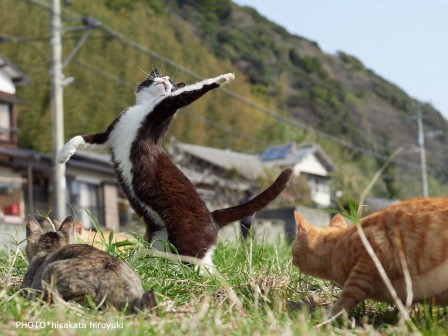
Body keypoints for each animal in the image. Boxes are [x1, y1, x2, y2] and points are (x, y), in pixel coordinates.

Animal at [57, 70, 292, 268]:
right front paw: (62, 155)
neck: (141, 108)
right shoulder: (110, 135)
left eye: (170, 81)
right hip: (159, 237)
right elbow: (81, 138)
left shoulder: (164, 108)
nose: (164, 78)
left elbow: (191, 92)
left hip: (187, 237)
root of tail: (212, 216)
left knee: (202, 266)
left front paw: (224, 78)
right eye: (157, 75)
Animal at [292, 197, 448, 316]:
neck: (336, 246)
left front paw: (326, 316)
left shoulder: (369, 260)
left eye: (292, 251)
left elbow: (347, 297)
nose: (292, 260)